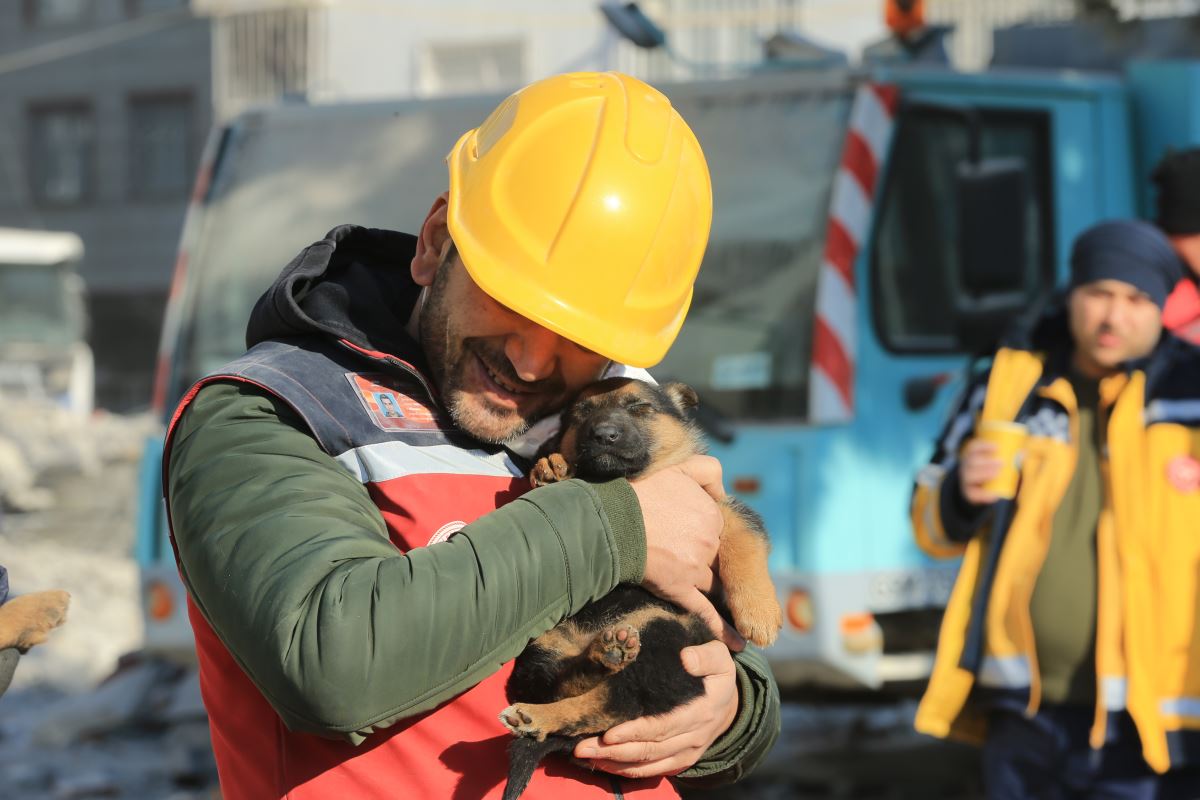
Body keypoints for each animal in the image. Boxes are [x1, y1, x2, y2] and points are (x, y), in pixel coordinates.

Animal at [494, 379, 777, 796]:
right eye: (581, 413)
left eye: (640, 407)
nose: (604, 435)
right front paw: (552, 467)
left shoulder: (720, 506)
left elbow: (745, 540)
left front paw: (760, 616)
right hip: (549, 645)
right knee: (587, 695)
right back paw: (556, 697)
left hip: (663, 633)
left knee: (614, 700)